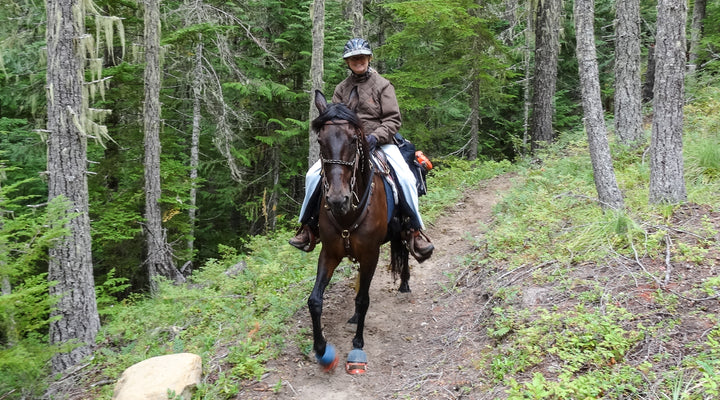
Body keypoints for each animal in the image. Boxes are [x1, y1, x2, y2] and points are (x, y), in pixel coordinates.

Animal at [307, 87, 411, 374]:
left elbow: (364, 299)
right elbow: (315, 300)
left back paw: (405, 283)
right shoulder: (329, 252)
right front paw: (321, 349)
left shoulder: (370, 254)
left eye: (354, 140)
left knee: (406, 247)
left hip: (403, 228)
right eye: (320, 140)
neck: (348, 213)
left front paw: (357, 344)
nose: (337, 199)